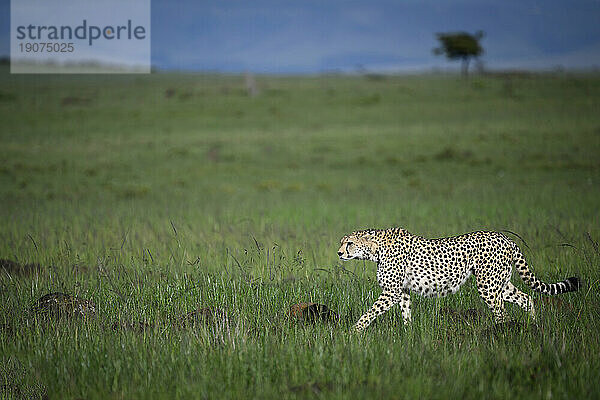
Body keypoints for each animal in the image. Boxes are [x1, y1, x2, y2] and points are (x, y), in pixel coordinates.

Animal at [338, 228, 576, 332]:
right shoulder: (402, 291)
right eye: (342, 242)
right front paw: (408, 335)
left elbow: (369, 312)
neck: (375, 249)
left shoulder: (391, 291)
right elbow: (406, 314)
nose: (339, 253)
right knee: (526, 299)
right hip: (500, 283)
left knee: (502, 313)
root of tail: (506, 238)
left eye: (349, 243)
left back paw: (503, 336)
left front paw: (354, 332)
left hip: (487, 286)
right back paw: (533, 327)